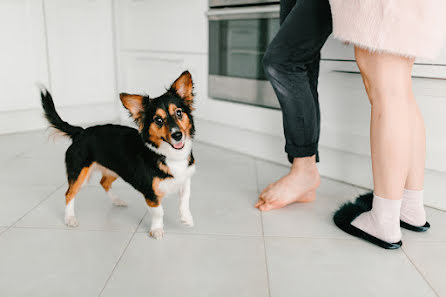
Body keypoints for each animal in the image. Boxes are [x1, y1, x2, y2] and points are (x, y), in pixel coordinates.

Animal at [39, 70, 195, 238]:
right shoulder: (150, 192)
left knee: (103, 182)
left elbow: (185, 198)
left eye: (179, 113)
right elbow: (159, 212)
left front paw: (187, 218)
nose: (177, 135)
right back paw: (70, 218)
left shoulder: (185, 178)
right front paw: (157, 230)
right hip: (79, 173)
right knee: (69, 194)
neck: (169, 155)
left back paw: (117, 201)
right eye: (158, 120)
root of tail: (80, 132)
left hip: (117, 169)